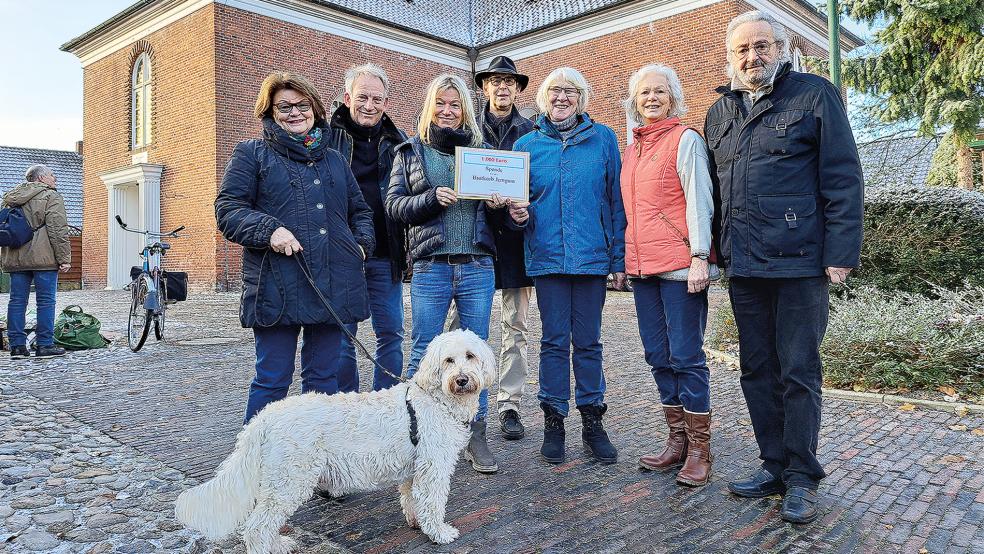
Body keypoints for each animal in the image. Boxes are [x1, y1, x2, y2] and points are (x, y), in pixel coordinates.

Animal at [174, 330, 496, 548]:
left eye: (470, 356)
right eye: (449, 360)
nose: (462, 379)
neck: (437, 398)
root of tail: (265, 417)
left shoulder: (414, 470)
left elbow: (411, 499)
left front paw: (417, 524)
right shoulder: (434, 467)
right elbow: (432, 503)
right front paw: (440, 533)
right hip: (290, 480)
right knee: (256, 526)